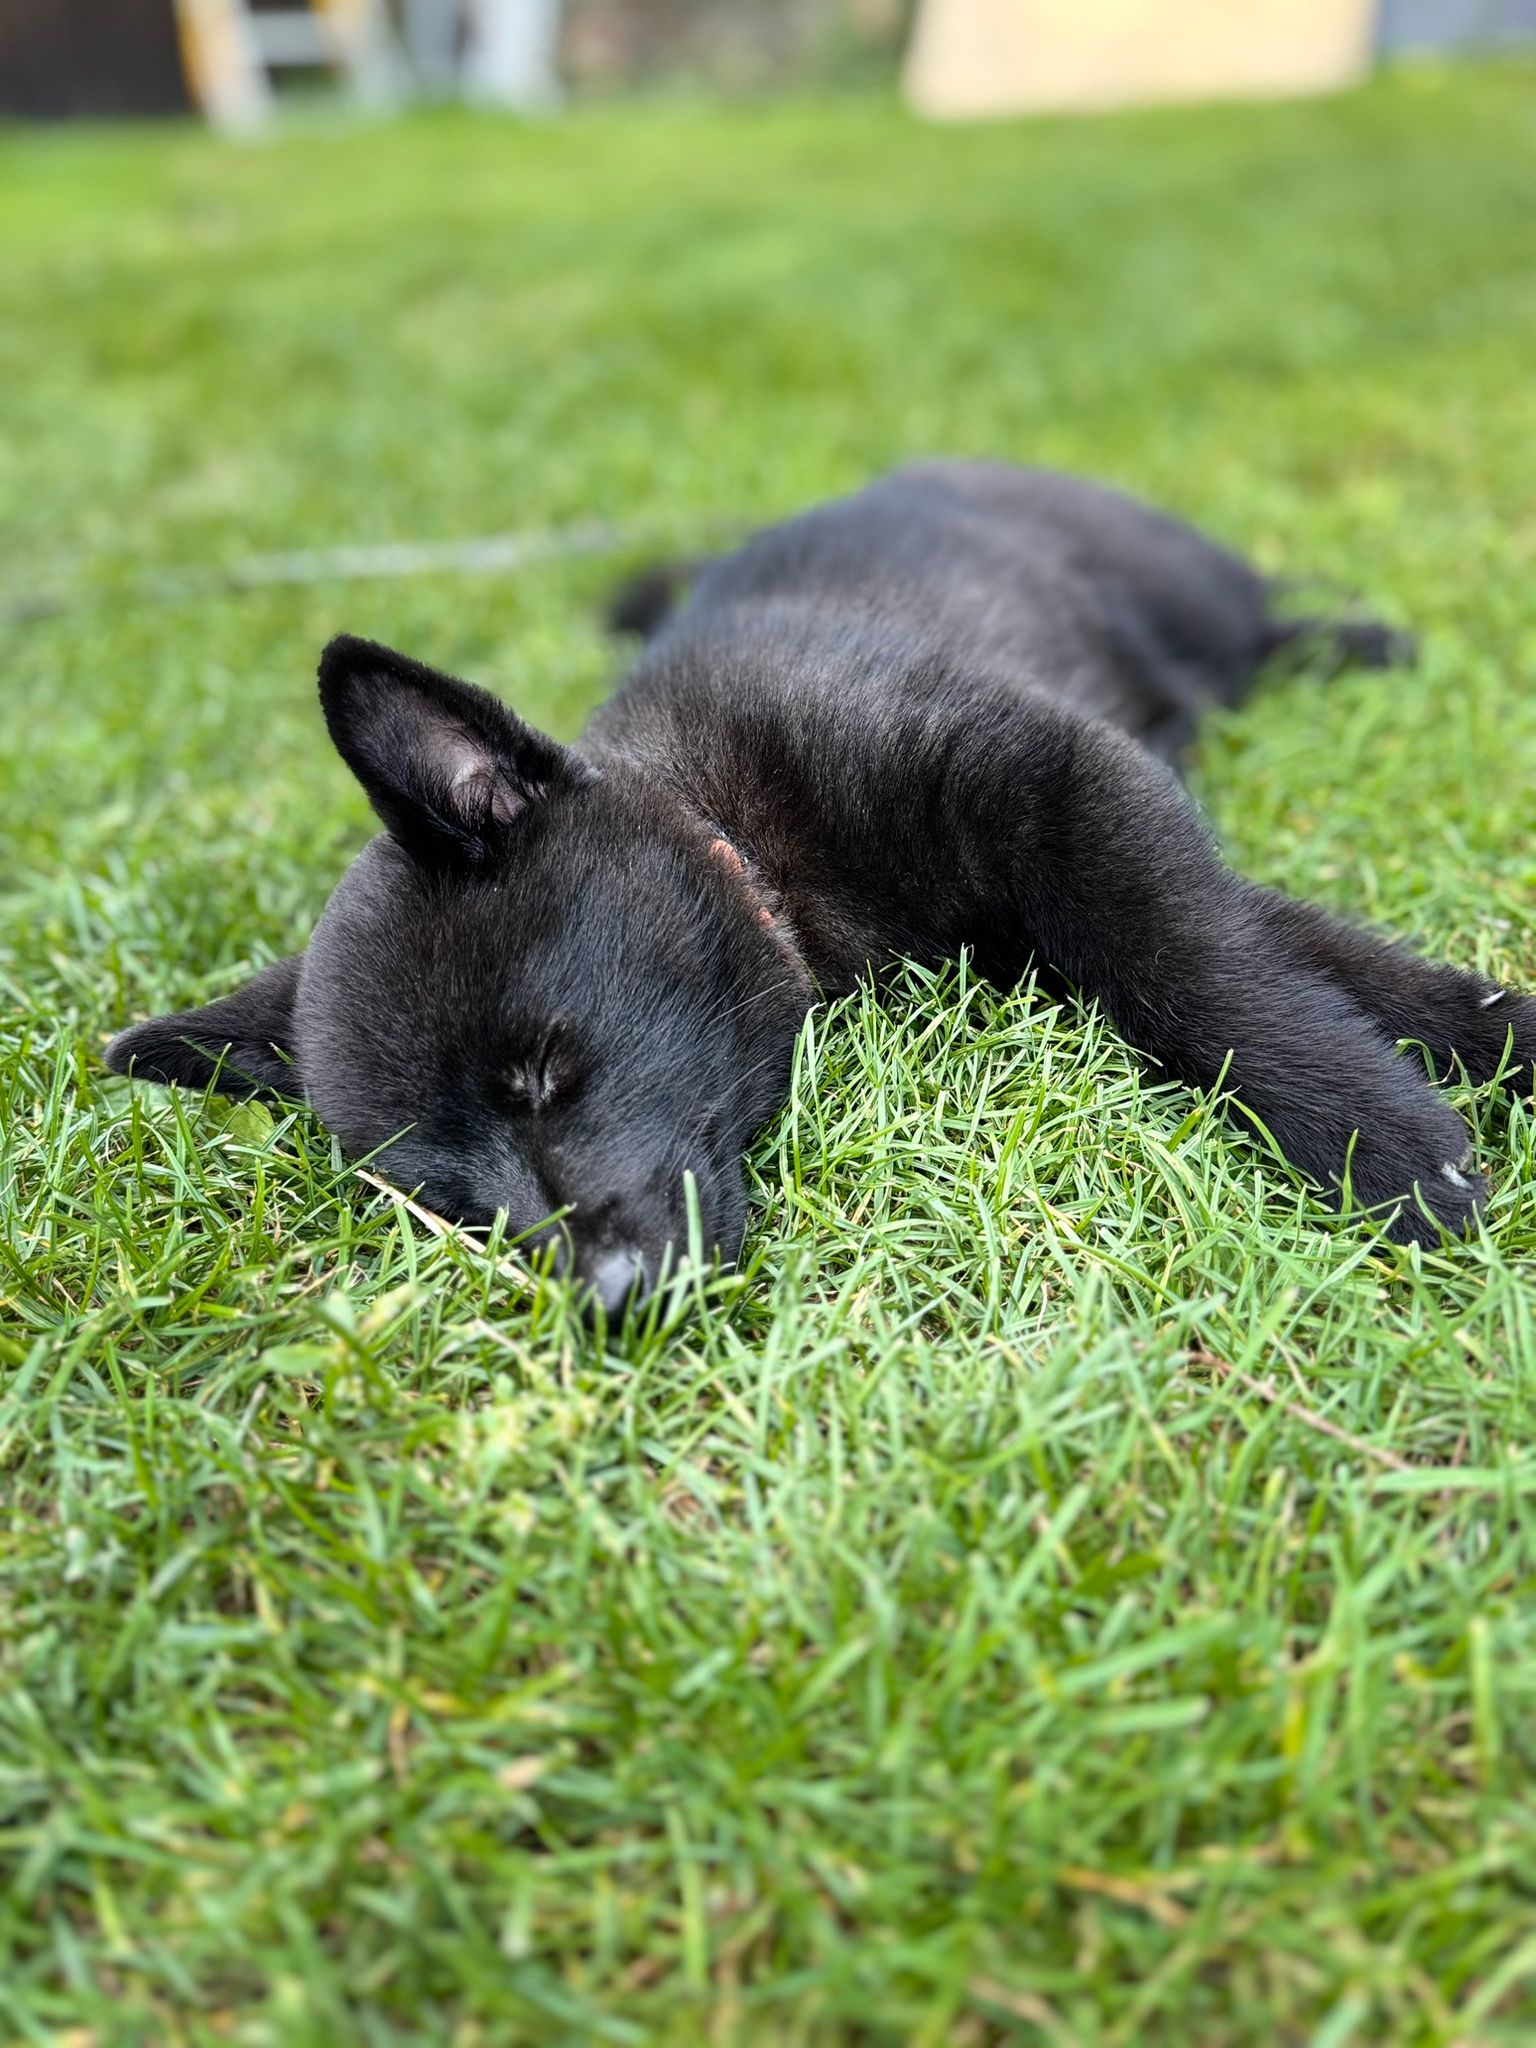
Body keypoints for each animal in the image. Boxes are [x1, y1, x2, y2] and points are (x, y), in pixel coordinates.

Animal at [105, 462, 1535, 1314]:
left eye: (543, 1073)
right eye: (445, 1205)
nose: (605, 1301)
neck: (739, 832)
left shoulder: (1071, 795)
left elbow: (1205, 977)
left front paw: (1388, 1149)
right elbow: (1311, 961)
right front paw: (1485, 1058)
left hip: (1186, 600)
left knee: (1272, 619)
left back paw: (1359, 639)